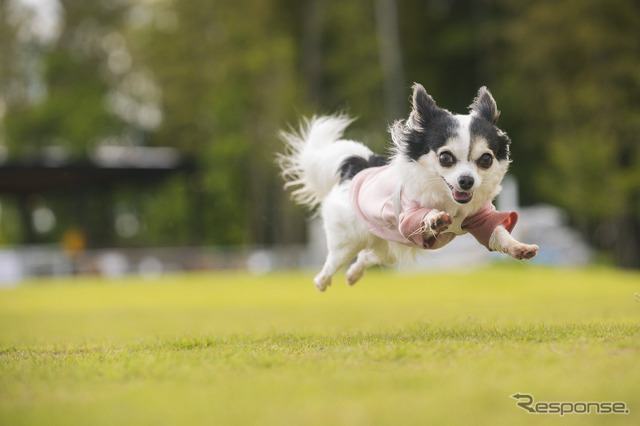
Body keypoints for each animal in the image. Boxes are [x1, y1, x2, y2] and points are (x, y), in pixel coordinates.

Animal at [278, 83, 536, 290]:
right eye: (445, 158)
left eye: (486, 160)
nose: (466, 181)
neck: (449, 200)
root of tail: (359, 168)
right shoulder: (407, 216)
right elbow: (424, 216)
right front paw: (435, 218)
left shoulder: (481, 217)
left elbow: (498, 233)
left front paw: (519, 248)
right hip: (346, 240)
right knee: (334, 262)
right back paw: (321, 281)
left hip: (387, 245)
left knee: (367, 256)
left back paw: (353, 275)